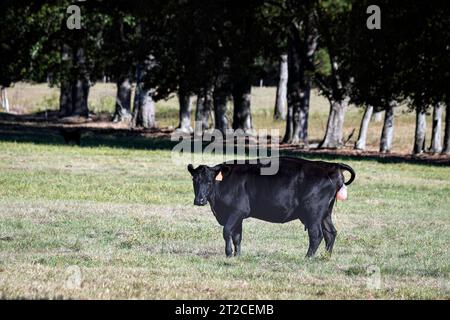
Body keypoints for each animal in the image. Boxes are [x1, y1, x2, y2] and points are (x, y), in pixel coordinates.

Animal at [186, 157, 356, 258]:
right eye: (194, 180)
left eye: (209, 181)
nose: (199, 200)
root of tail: (331, 165)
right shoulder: (237, 216)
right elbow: (237, 236)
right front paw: (237, 256)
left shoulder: (237, 211)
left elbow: (227, 231)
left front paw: (228, 254)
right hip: (325, 212)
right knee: (330, 233)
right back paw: (326, 257)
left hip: (313, 212)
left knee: (316, 234)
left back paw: (307, 257)